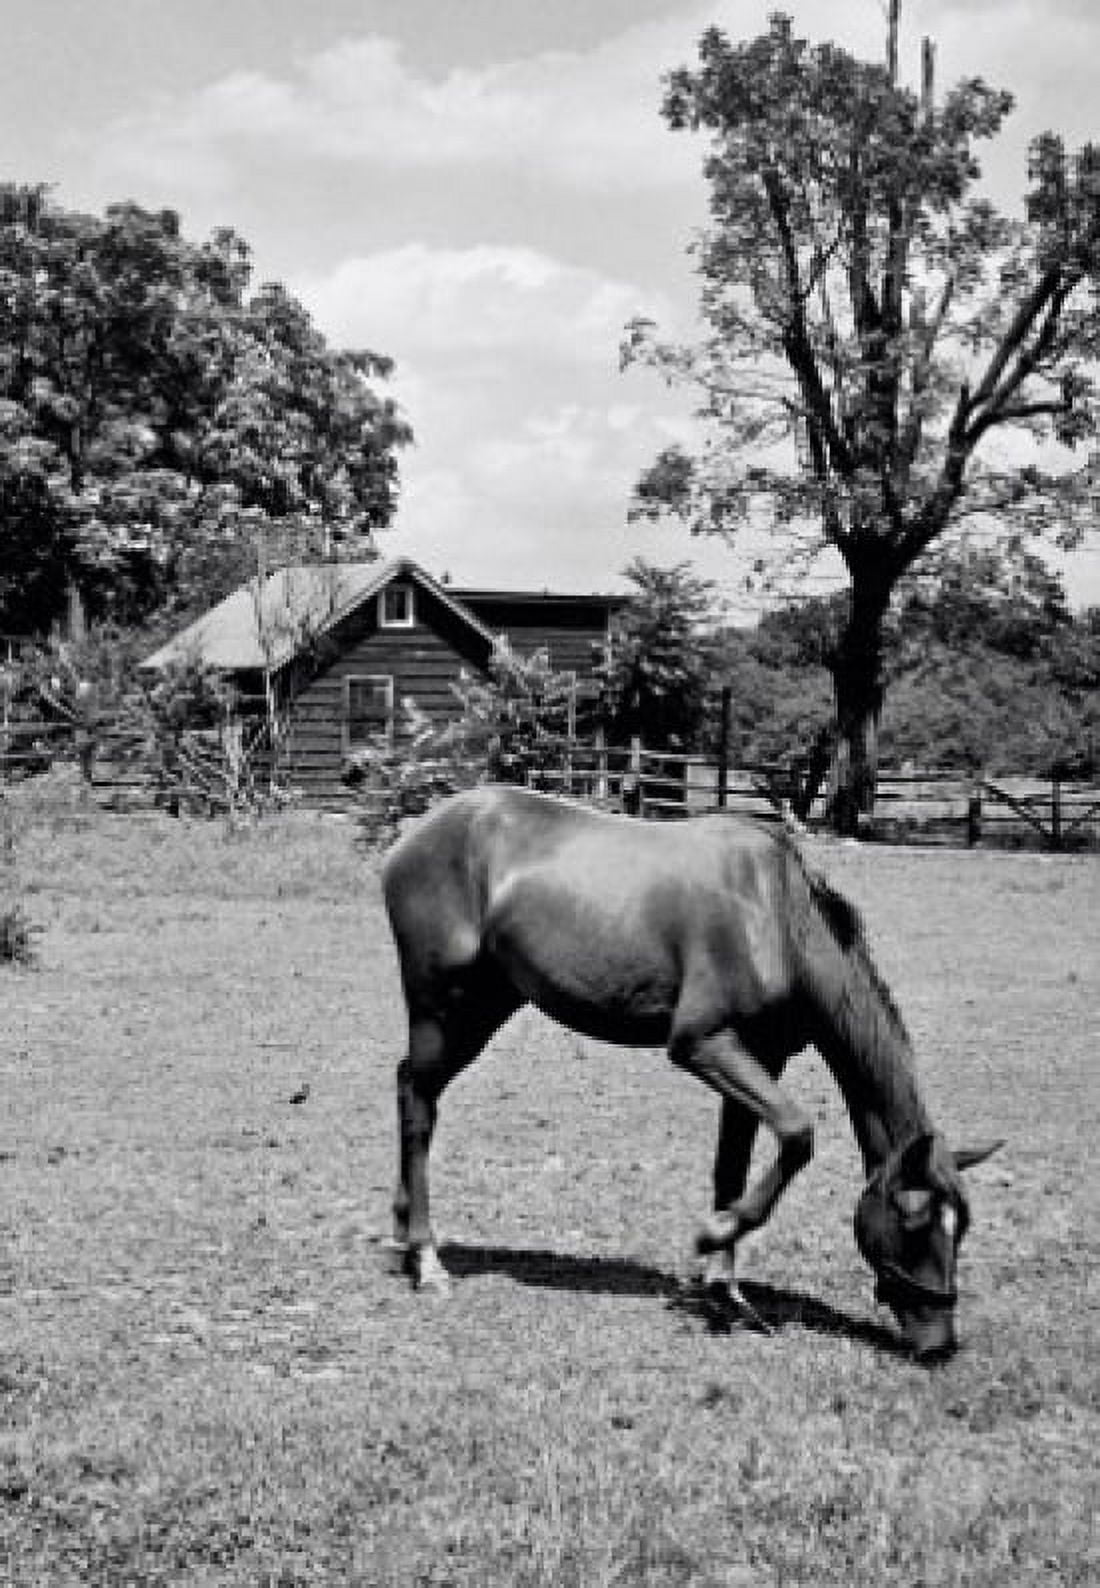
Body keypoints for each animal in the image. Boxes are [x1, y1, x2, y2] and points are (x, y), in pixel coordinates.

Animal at [381, 785, 1001, 1362]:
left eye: (963, 1223)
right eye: (916, 1218)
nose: (939, 1343)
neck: (776, 915)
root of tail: (415, 835)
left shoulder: (759, 1056)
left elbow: (733, 1167)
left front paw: (725, 1290)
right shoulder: (703, 1046)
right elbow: (796, 1134)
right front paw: (713, 1235)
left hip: (485, 1005)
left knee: (414, 1091)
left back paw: (404, 1236)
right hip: (443, 1008)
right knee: (417, 1100)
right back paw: (427, 1258)